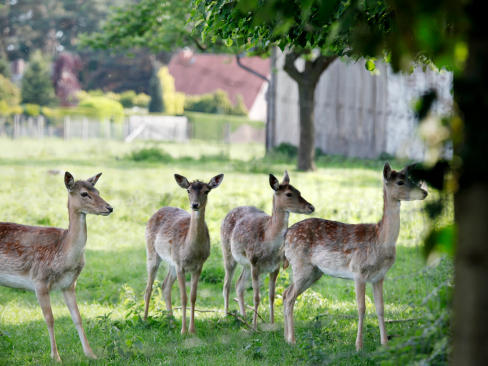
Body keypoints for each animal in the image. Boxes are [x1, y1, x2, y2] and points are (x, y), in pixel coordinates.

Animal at [0, 171, 113, 360]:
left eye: (97, 190)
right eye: (84, 193)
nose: (109, 208)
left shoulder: (69, 284)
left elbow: (77, 317)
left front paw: (90, 354)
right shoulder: (39, 281)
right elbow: (50, 318)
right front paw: (55, 356)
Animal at [143, 174, 223, 334]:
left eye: (206, 191)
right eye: (188, 190)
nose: (195, 205)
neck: (192, 251)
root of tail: (155, 213)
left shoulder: (199, 266)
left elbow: (192, 297)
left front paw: (192, 330)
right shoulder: (181, 265)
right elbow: (183, 297)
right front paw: (183, 331)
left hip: (172, 262)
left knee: (165, 285)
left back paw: (172, 322)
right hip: (152, 251)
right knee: (149, 287)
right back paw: (144, 319)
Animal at [220, 172, 312, 328]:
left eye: (299, 191)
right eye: (289, 194)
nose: (311, 207)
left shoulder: (275, 266)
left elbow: (272, 295)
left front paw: (272, 323)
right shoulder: (255, 263)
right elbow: (257, 297)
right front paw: (255, 325)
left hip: (246, 265)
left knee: (239, 285)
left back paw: (243, 317)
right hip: (227, 251)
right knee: (227, 284)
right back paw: (227, 315)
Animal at [282, 163, 428, 348]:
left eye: (409, 178)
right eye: (400, 182)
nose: (424, 193)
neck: (379, 239)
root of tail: (286, 235)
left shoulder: (379, 276)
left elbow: (381, 308)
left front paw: (385, 344)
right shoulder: (359, 271)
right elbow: (361, 307)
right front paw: (359, 345)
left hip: (315, 272)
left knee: (286, 293)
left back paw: (286, 338)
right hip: (301, 265)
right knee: (289, 296)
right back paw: (292, 340)